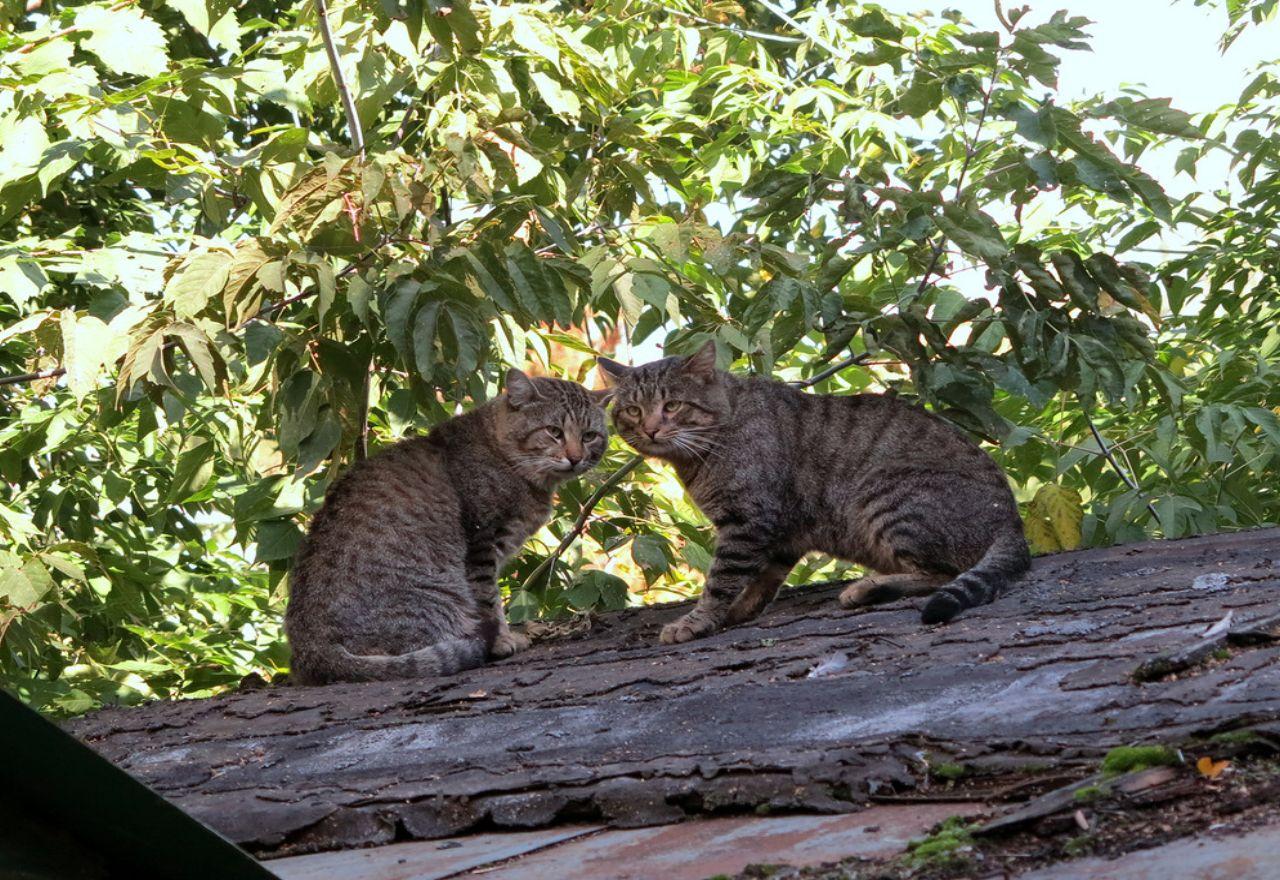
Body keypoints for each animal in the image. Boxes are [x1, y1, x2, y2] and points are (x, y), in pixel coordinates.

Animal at [288, 368, 606, 685]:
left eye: (590, 436)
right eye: (554, 431)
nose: (576, 458)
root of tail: (313, 651)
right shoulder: (482, 541)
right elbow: (489, 601)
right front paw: (503, 640)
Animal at [596, 340, 1029, 642]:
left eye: (672, 406)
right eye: (633, 410)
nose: (651, 428)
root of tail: (1012, 522)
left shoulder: (749, 519)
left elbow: (722, 579)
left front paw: (699, 620)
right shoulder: (780, 531)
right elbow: (761, 579)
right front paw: (738, 611)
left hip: (887, 490)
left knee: (943, 572)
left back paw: (868, 587)